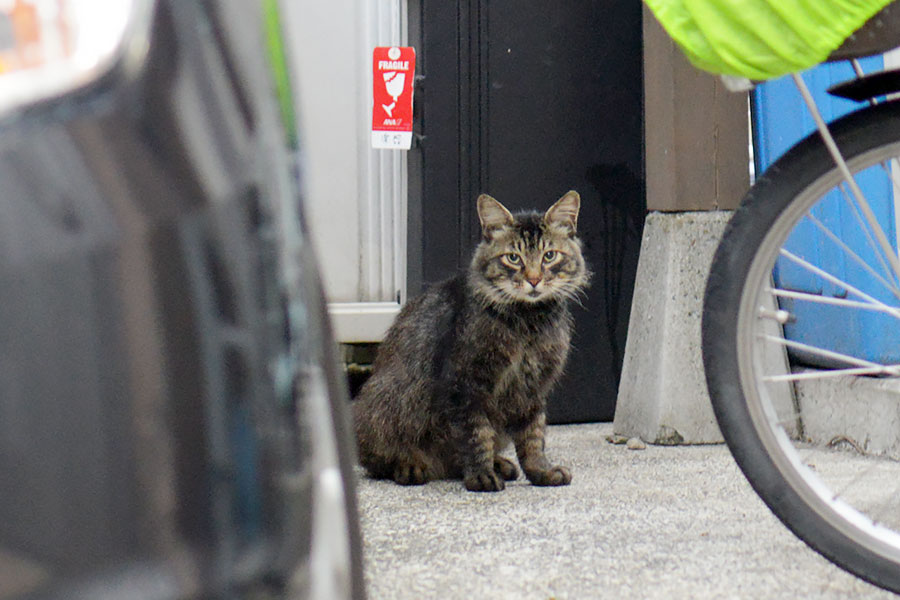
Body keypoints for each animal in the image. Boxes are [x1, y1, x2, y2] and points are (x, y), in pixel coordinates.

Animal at [352, 192, 592, 492]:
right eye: (513, 258)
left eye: (549, 255)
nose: (534, 280)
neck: (528, 324)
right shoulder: (466, 386)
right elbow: (477, 435)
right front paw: (481, 476)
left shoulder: (533, 390)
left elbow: (533, 438)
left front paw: (541, 472)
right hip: (389, 401)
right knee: (380, 460)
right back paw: (410, 466)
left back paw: (501, 464)